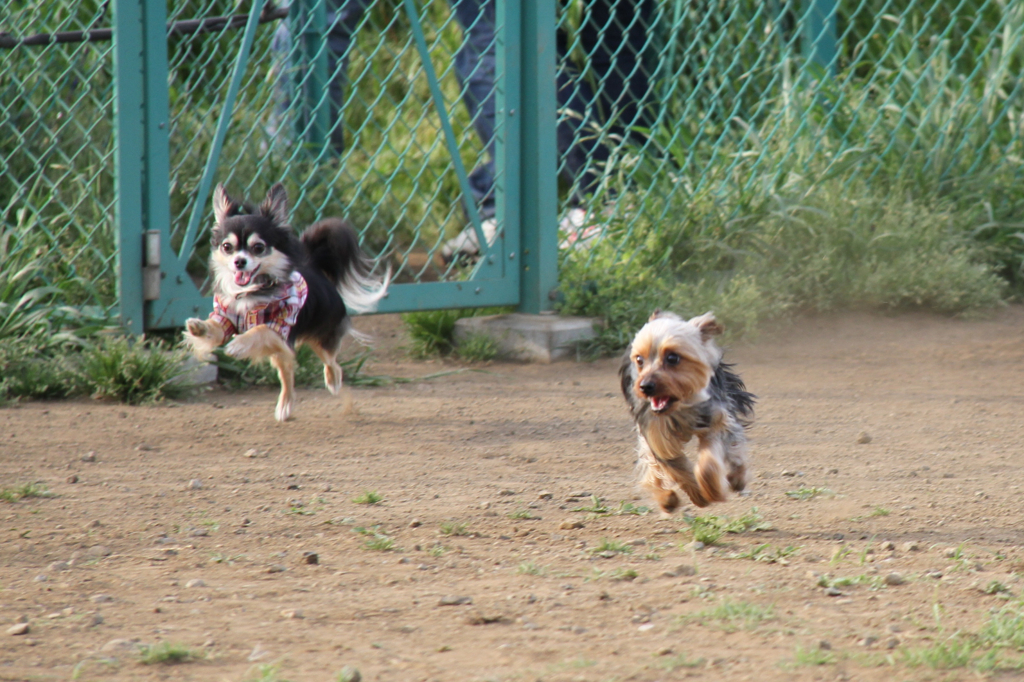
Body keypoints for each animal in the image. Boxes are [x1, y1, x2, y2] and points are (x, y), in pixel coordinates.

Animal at [182, 180, 389, 419]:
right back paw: (285, 406)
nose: (239, 261)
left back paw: (333, 382)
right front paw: (198, 327)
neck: (252, 291)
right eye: (227, 247)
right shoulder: (226, 318)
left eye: (258, 247)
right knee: (288, 371)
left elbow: (259, 330)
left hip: (321, 337)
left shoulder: (280, 326)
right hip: (285, 352)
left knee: (331, 363)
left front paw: (239, 344)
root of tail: (313, 266)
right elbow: (214, 328)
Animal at [614, 311, 753, 507]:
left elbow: (710, 460)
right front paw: (698, 496)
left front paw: (712, 491)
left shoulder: (714, 417)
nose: (645, 386)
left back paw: (737, 477)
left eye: (673, 358)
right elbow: (674, 465)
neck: (680, 406)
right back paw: (666, 498)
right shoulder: (656, 433)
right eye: (639, 360)